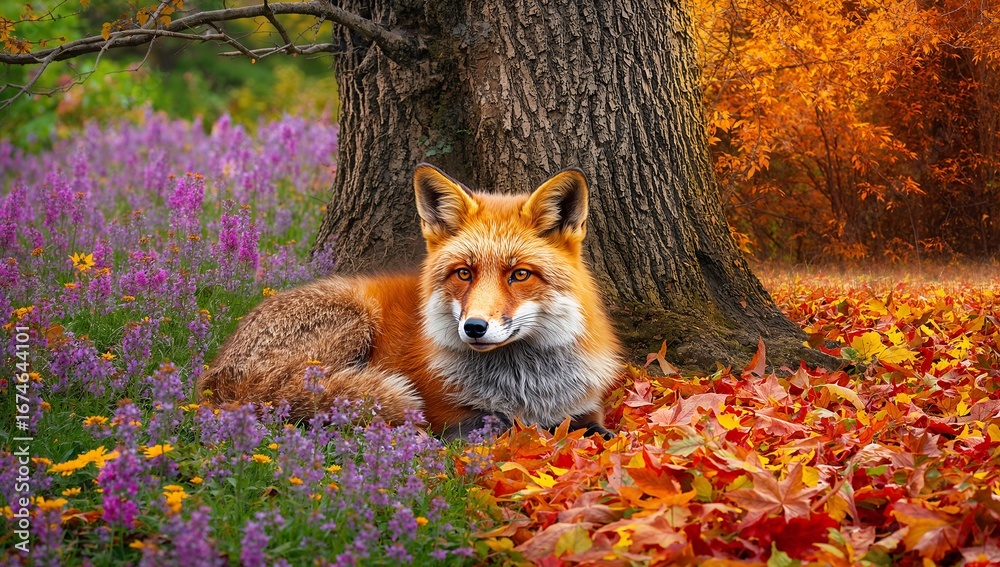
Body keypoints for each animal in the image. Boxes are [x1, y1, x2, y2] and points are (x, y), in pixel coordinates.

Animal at [199, 164, 622, 440]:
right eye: (463, 273)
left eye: (519, 275)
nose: (474, 327)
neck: (524, 384)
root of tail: (215, 376)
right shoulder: (446, 411)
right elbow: (488, 425)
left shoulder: (584, 406)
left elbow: (600, 431)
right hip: (355, 319)